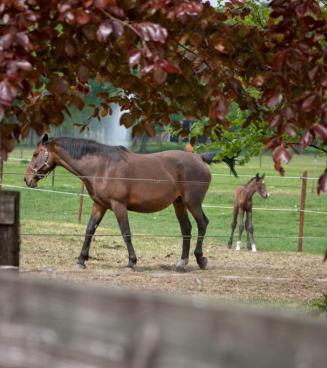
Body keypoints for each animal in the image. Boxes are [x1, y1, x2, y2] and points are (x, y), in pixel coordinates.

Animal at [24, 134, 237, 270]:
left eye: (35, 154)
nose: (27, 179)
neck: (102, 167)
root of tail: (199, 157)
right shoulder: (99, 206)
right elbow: (89, 230)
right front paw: (81, 260)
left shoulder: (119, 206)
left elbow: (126, 233)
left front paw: (132, 261)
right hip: (179, 204)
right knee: (186, 228)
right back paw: (182, 262)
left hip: (193, 203)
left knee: (202, 224)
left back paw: (200, 259)